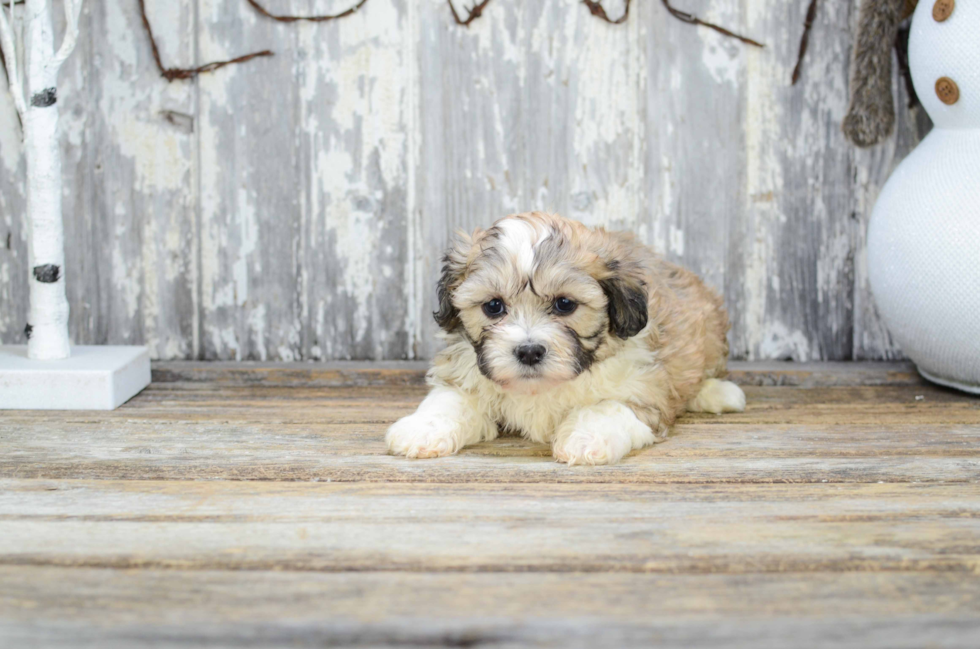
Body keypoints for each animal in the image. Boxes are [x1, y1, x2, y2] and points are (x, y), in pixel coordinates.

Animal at [386, 210, 748, 464]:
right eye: (493, 306)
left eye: (564, 304)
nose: (529, 352)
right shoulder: (466, 374)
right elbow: (448, 400)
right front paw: (421, 430)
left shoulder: (643, 390)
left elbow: (607, 408)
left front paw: (586, 438)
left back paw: (719, 394)